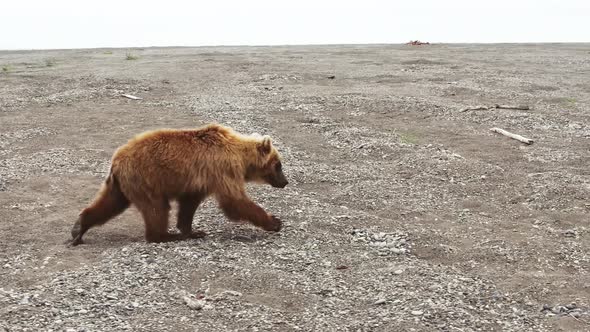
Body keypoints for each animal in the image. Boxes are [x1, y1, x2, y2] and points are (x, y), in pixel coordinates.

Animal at [69, 123, 290, 245]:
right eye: (278, 164)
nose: (285, 182)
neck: (241, 159)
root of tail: (116, 160)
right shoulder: (222, 169)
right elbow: (234, 202)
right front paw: (274, 221)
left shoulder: (198, 181)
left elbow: (189, 205)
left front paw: (192, 230)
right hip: (147, 179)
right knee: (157, 208)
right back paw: (164, 236)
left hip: (122, 185)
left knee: (110, 203)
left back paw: (79, 228)